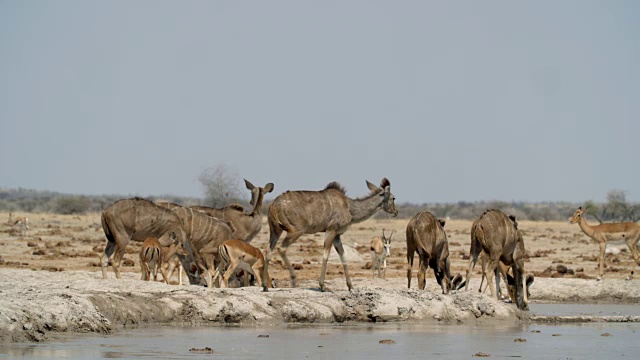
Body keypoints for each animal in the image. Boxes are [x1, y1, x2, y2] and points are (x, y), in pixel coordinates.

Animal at [264, 178, 396, 292]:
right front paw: (322, 286)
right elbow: (326, 255)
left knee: (268, 251)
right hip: (296, 231)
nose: (396, 212)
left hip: (275, 231)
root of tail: (274, 204)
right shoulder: (331, 230)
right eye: (393, 198)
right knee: (281, 248)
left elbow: (343, 256)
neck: (349, 207)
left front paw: (350, 286)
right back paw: (293, 280)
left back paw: (265, 286)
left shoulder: (337, 235)